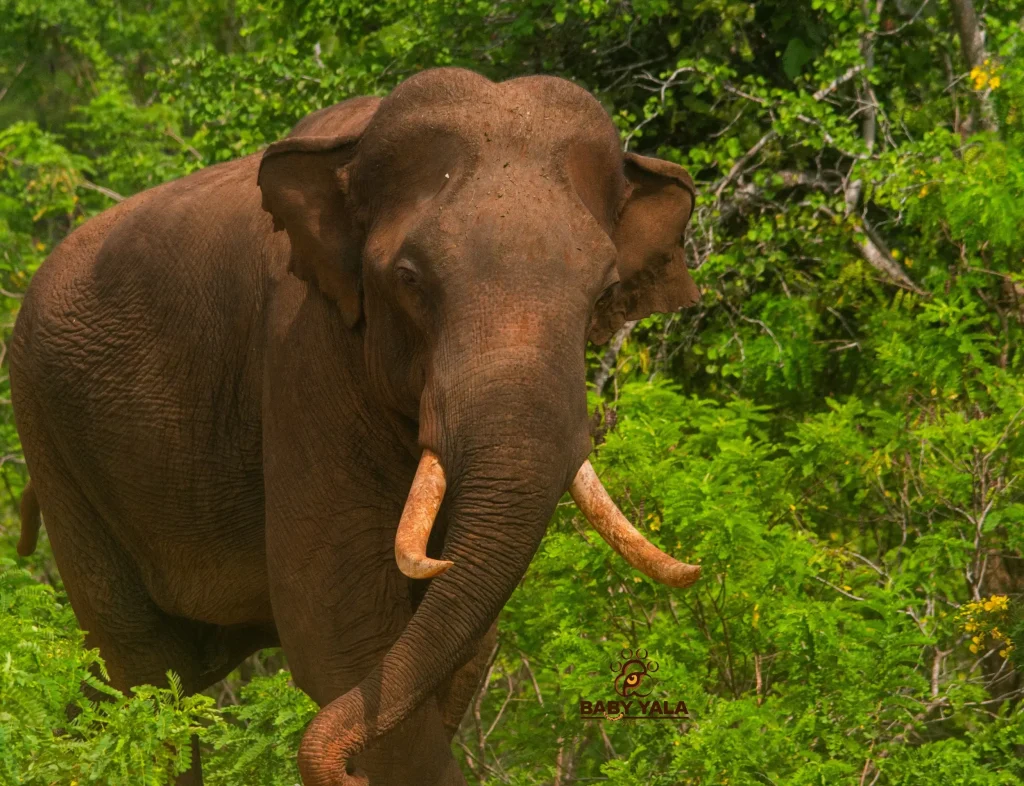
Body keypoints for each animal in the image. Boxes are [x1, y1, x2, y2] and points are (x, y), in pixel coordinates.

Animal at [10, 67, 701, 786]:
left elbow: (456, 643)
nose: (343, 772)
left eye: (605, 293)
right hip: (50, 432)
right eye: (409, 279)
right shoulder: (302, 352)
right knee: (148, 672)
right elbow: (336, 632)